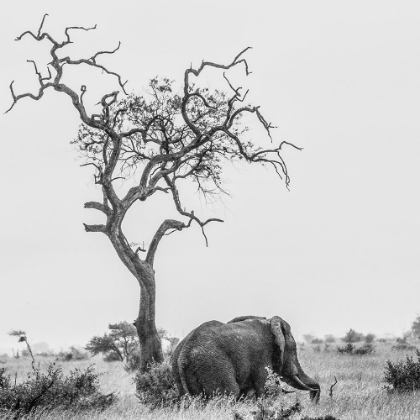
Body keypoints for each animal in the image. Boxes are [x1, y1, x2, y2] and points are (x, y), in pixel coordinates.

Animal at [172, 316, 320, 402]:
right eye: (293, 348)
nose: (314, 399)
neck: (270, 323)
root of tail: (184, 353)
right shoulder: (262, 356)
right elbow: (265, 389)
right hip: (212, 365)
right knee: (230, 393)